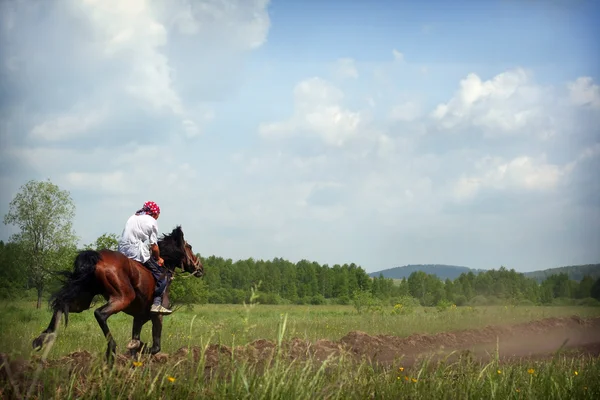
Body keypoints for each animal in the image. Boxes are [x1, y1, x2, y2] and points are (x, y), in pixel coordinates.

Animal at [31, 225, 204, 366]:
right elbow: (155, 347)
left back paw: (42, 338)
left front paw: (134, 354)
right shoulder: (157, 316)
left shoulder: (139, 318)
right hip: (122, 298)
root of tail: (97, 257)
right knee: (99, 314)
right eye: (189, 246)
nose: (201, 269)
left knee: (61, 304)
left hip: (83, 300)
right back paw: (111, 350)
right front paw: (138, 348)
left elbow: (136, 341)